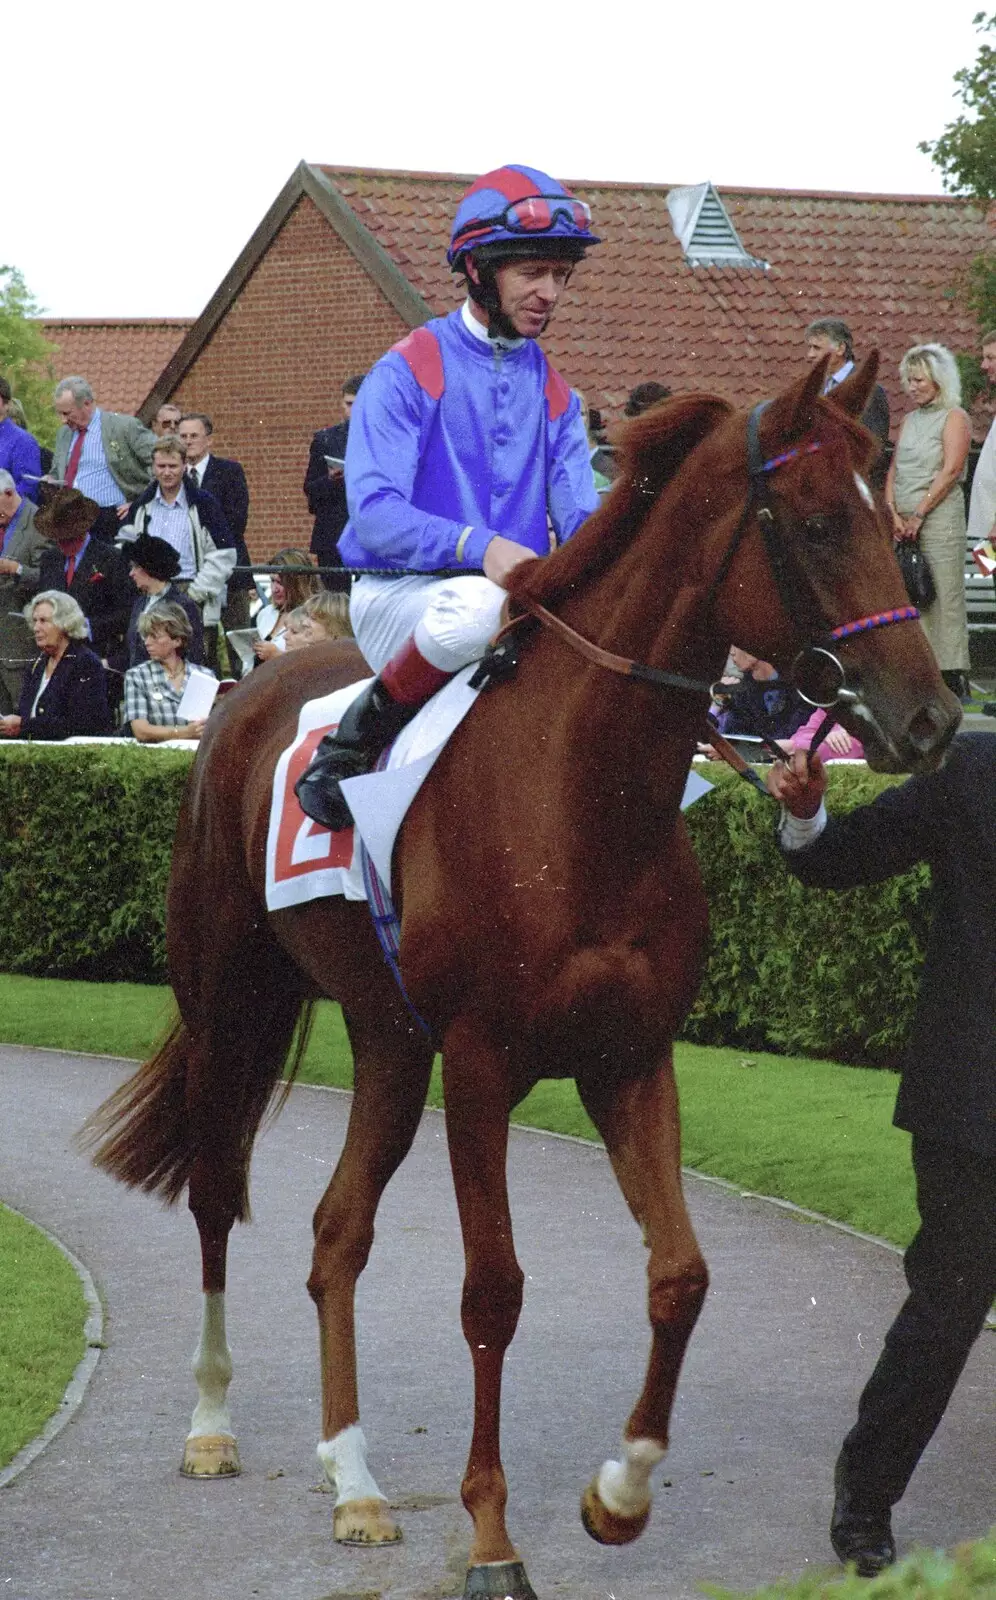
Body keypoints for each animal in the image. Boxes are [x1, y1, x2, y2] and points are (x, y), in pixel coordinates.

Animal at [85, 363, 960, 1600]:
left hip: (390, 1040)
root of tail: (251, 689)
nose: (931, 717)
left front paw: (619, 1493)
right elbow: (492, 1290)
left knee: (336, 1232)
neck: (578, 793)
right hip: (231, 1000)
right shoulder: (484, 1064)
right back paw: (211, 1426)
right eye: (822, 521)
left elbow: (681, 1274)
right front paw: (495, 1538)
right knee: (216, 1190)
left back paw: (355, 1483)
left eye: (897, 524)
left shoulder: (628, 1057)